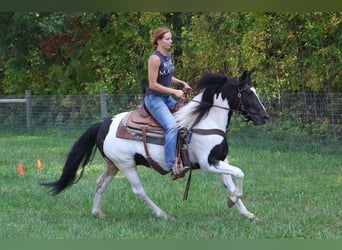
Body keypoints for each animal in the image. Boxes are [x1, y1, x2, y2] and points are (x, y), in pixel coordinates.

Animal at [40, 70, 270, 221]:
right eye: (248, 93)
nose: (265, 117)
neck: (205, 121)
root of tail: (103, 124)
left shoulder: (220, 160)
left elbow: (230, 182)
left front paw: (246, 212)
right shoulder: (208, 164)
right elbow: (239, 174)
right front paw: (232, 201)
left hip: (112, 165)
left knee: (100, 183)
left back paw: (97, 212)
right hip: (127, 165)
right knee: (139, 191)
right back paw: (163, 214)